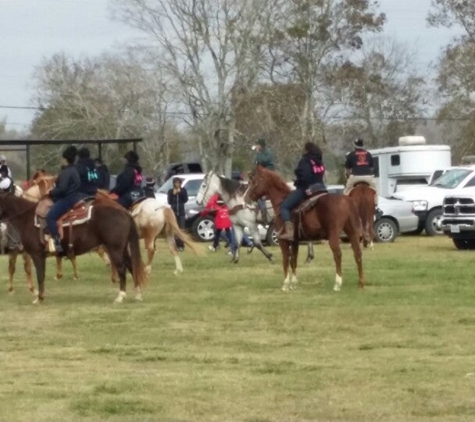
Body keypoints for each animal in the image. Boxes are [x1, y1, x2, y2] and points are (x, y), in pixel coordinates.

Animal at [0, 191, 147, 304]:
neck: (27, 218)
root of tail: (124, 212)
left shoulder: (37, 254)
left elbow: (40, 276)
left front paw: (40, 298)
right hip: (122, 249)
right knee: (131, 266)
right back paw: (138, 294)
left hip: (115, 249)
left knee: (122, 269)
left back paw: (120, 296)